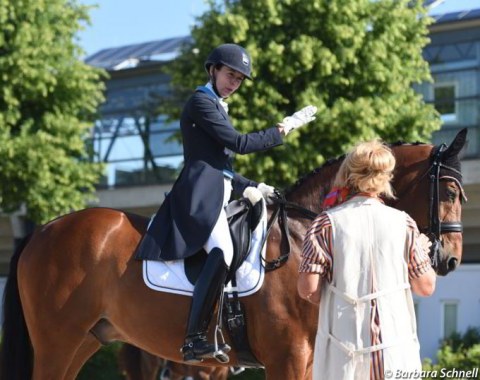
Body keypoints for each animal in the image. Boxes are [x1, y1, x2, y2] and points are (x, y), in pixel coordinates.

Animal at [0, 129, 466, 378]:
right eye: (449, 191)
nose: (451, 260)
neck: (301, 236)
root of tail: (43, 229)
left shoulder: (306, 360)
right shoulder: (287, 358)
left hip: (84, 340)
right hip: (58, 341)